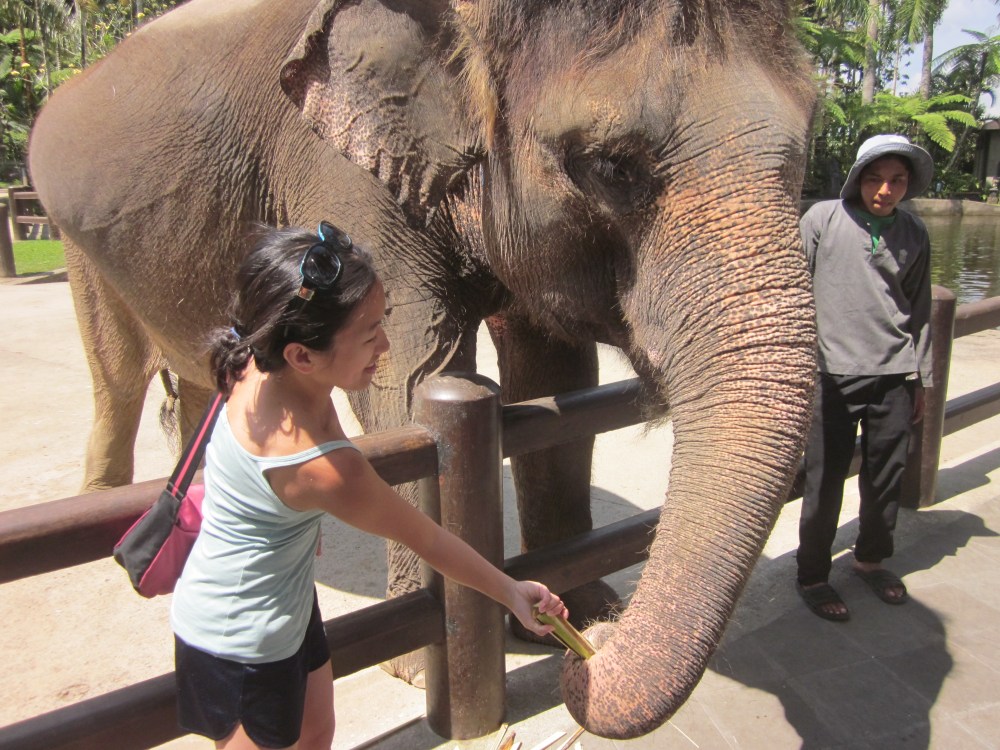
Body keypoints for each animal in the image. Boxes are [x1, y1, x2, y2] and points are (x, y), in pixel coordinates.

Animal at [28, 0, 818, 739]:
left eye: (804, 147)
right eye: (609, 166)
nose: (590, 649)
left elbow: (558, 380)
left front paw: (581, 606)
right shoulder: (342, 178)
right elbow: (409, 384)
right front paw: (419, 671)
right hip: (74, 239)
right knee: (119, 377)